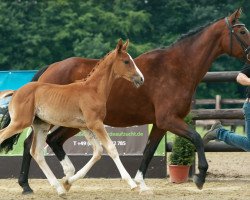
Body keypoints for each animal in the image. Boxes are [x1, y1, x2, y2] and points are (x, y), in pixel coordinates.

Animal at [0, 7, 250, 194]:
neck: (177, 68)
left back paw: (62, 179)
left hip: (68, 123)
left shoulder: (160, 123)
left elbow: (149, 152)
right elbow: (197, 138)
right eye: (242, 31)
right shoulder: (169, 119)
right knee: (31, 144)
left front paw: (140, 184)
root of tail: (48, 69)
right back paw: (28, 185)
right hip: (55, 121)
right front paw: (200, 177)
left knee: (50, 142)